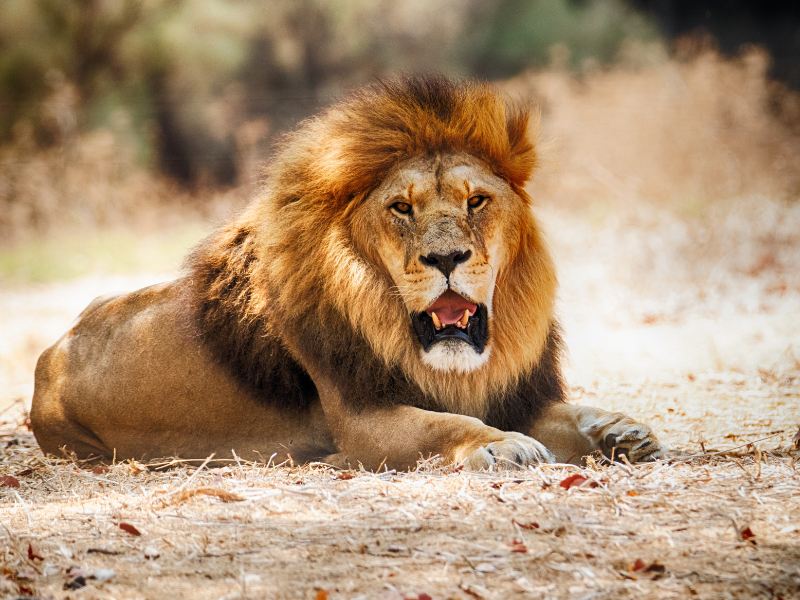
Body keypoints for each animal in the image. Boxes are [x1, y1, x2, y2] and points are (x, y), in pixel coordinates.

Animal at [31, 75, 664, 470]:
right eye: (402, 208)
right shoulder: (363, 418)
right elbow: (445, 425)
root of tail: (52, 354)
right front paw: (505, 445)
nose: (446, 260)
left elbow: (571, 410)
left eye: (476, 201)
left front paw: (621, 430)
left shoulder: (513, 391)